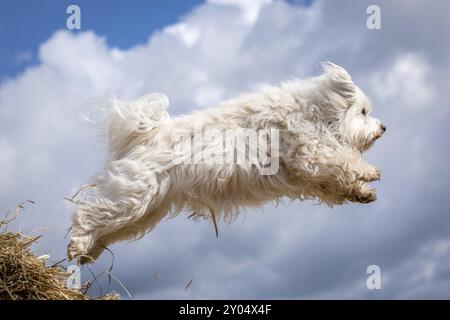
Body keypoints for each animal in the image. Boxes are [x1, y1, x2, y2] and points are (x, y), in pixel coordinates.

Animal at [68, 62, 384, 262]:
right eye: (363, 111)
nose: (383, 128)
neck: (315, 110)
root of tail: (147, 133)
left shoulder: (310, 176)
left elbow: (337, 184)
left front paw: (363, 193)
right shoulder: (310, 152)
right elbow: (341, 159)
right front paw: (369, 172)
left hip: (146, 211)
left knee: (108, 230)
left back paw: (87, 254)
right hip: (133, 196)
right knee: (89, 214)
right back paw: (77, 245)